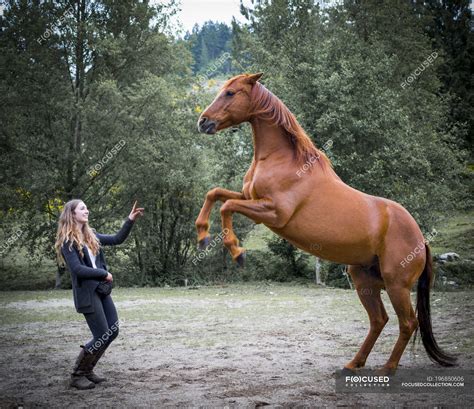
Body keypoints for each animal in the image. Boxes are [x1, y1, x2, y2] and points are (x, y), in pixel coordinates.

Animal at [195, 71, 456, 372]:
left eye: (230, 92)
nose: (203, 121)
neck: (282, 160)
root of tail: (421, 239)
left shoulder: (273, 213)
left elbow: (226, 206)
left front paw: (236, 252)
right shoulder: (250, 199)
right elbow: (215, 193)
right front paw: (202, 236)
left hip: (397, 285)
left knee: (407, 323)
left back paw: (387, 368)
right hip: (364, 280)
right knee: (379, 320)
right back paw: (353, 363)